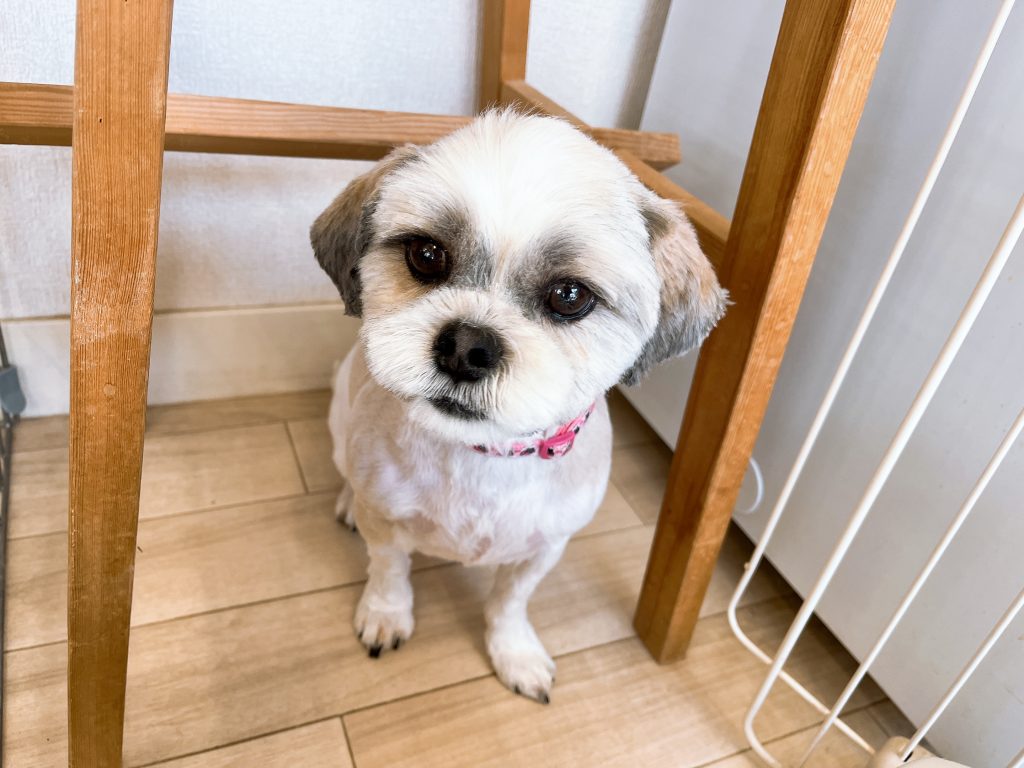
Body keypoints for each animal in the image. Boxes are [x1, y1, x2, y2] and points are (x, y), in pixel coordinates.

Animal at [311, 109, 726, 703]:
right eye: (427, 254)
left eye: (570, 296)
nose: (467, 346)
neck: (484, 457)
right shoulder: (386, 523)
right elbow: (388, 571)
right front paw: (386, 615)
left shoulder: (544, 548)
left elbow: (509, 603)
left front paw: (515, 653)